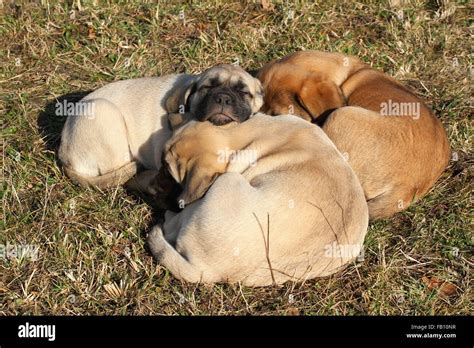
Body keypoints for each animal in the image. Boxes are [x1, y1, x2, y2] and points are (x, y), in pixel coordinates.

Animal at [146, 113, 368, 286]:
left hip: (228, 181)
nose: (151, 188)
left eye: (168, 172)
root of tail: (210, 271)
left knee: (172, 225)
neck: (239, 139)